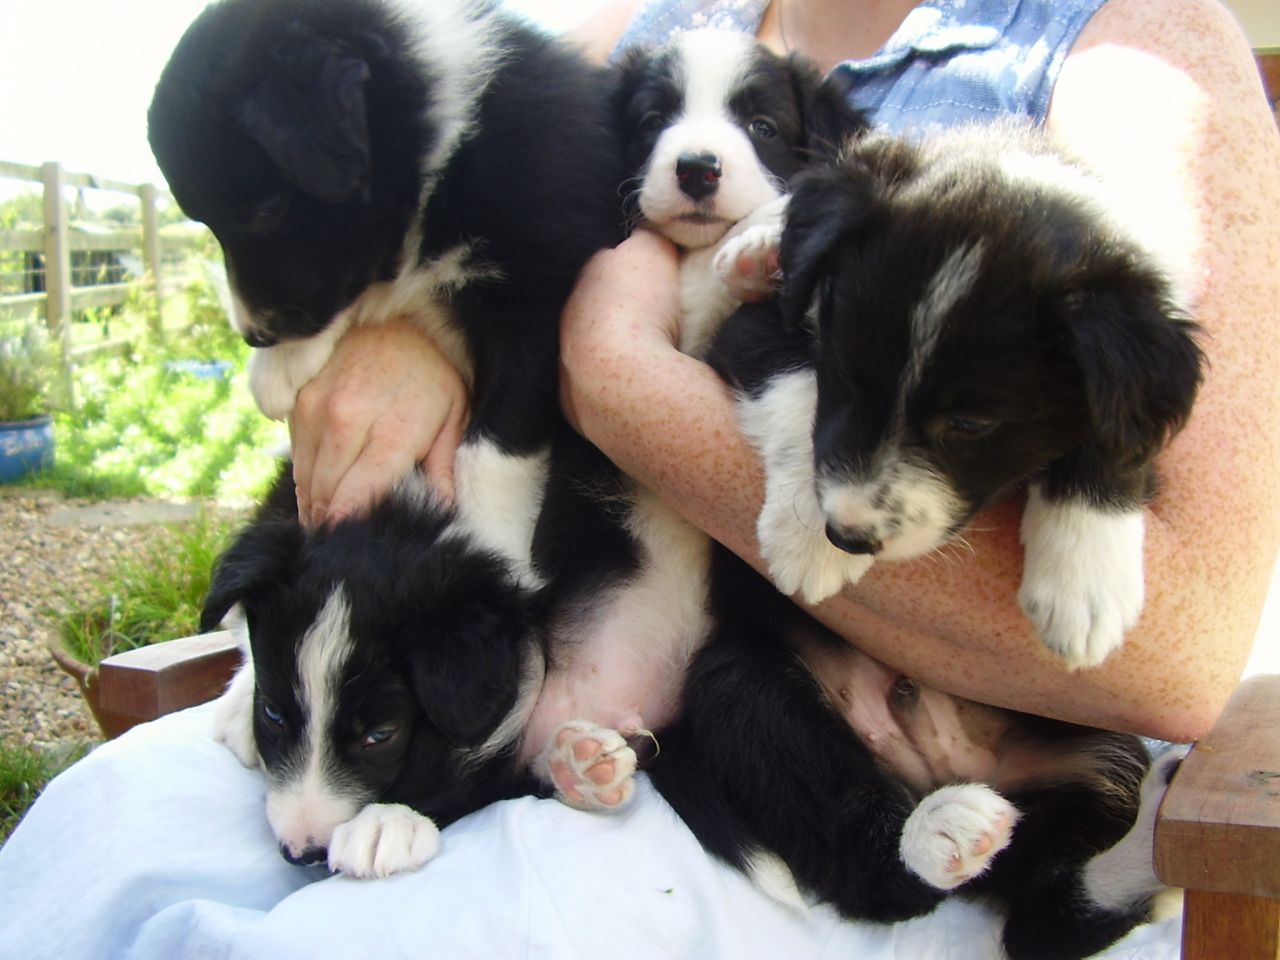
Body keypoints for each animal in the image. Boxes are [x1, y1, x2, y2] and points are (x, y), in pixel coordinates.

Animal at [716, 126, 1203, 670]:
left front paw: (1084, 586)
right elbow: (795, 384)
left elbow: (1114, 431)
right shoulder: (756, 325)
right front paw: (805, 539)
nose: (846, 534)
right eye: (840, 370)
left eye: (970, 425)